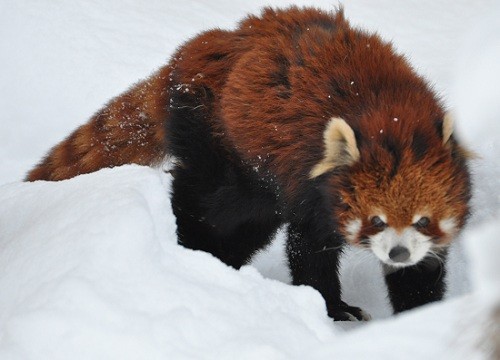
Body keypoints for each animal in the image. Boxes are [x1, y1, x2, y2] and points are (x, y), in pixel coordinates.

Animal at [26, 5, 472, 320]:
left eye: (422, 220)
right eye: (375, 220)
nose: (397, 253)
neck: (390, 118)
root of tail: (199, 47)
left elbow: (423, 273)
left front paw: (420, 316)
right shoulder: (310, 183)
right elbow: (309, 252)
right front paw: (334, 310)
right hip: (222, 143)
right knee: (209, 209)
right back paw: (192, 258)